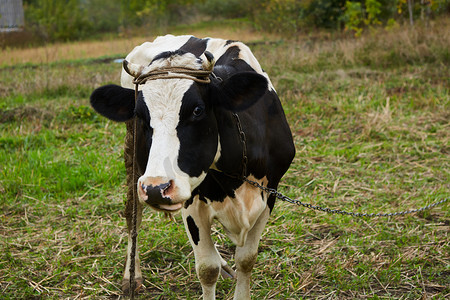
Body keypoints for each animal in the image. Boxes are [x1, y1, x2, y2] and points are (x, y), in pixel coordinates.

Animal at [90, 34, 296, 298]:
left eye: (197, 110)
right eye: (141, 115)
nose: (156, 188)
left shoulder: (270, 193)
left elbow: (246, 259)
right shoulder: (193, 203)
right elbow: (207, 269)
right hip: (134, 160)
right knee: (132, 214)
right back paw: (131, 276)